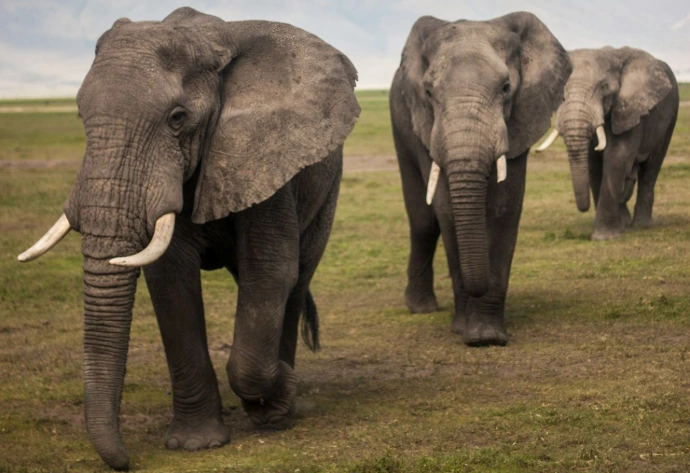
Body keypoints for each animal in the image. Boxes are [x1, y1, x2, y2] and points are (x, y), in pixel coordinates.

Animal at [17, 7, 359, 471]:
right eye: (80, 115)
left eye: (177, 118)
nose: (126, 460)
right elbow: (170, 280)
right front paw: (195, 444)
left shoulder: (264, 154)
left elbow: (270, 272)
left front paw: (279, 398)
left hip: (328, 188)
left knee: (296, 278)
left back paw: (280, 408)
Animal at [390, 12, 571, 346]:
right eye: (428, 93)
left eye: (506, 87)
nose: (478, 286)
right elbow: (447, 211)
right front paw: (465, 331)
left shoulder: (520, 118)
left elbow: (504, 209)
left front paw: (486, 336)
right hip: (400, 122)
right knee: (423, 221)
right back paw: (421, 308)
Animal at [535, 47, 679, 240]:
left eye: (604, 87)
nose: (584, 207)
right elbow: (594, 164)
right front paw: (616, 228)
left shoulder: (629, 110)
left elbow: (617, 156)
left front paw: (604, 237)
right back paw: (625, 222)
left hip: (670, 117)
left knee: (651, 169)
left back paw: (642, 225)